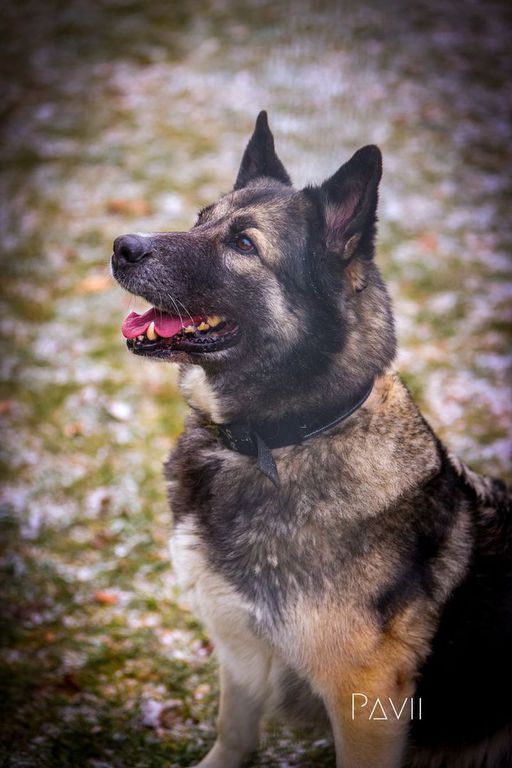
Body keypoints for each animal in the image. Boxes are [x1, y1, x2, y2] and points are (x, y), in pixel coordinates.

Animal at [112, 111, 512, 768]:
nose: (122, 247)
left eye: (243, 244)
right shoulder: (240, 652)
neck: (277, 439)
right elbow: (233, 735)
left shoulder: (365, 703)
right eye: (201, 219)